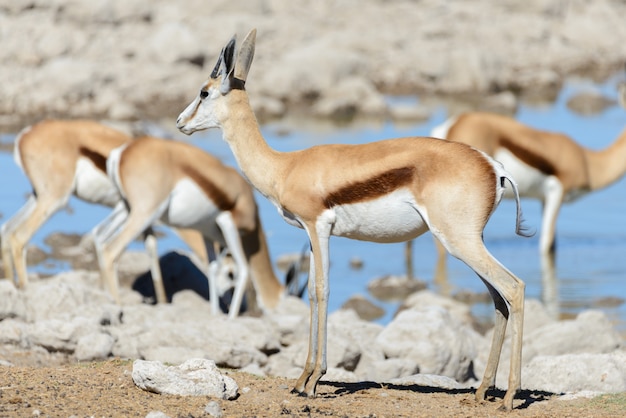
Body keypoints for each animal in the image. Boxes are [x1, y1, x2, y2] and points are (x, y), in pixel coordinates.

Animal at [0, 119, 205, 302]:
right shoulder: (129, 211)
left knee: (7, 229)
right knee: (19, 236)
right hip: (55, 199)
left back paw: (12, 287)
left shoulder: (146, 219)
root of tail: (25, 135)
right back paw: (26, 290)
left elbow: (151, 249)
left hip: (38, 196)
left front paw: (162, 302)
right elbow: (111, 247)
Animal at [92, 136, 302, 318]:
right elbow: (243, 269)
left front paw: (215, 314)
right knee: (111, 250)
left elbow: (213, 269)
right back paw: (118, 305)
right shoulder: (229, 224)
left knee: (99, 236)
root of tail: (123, 152)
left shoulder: (206, 233)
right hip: (145, 213)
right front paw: (231, 318)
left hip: (127, 208)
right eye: (291, 301)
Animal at [174, 30, 528, 412]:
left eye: (204, 91)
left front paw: (314, 381)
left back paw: (510, 397)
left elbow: (323, 290)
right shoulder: (311, 234)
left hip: (458, 241)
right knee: (498, 300)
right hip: (469, 242)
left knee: (514, 288)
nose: (180, 122)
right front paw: (301, 380)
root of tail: (494, 167)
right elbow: (312, 296)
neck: (284, 167)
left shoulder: (319, 228)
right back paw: (482, 391)